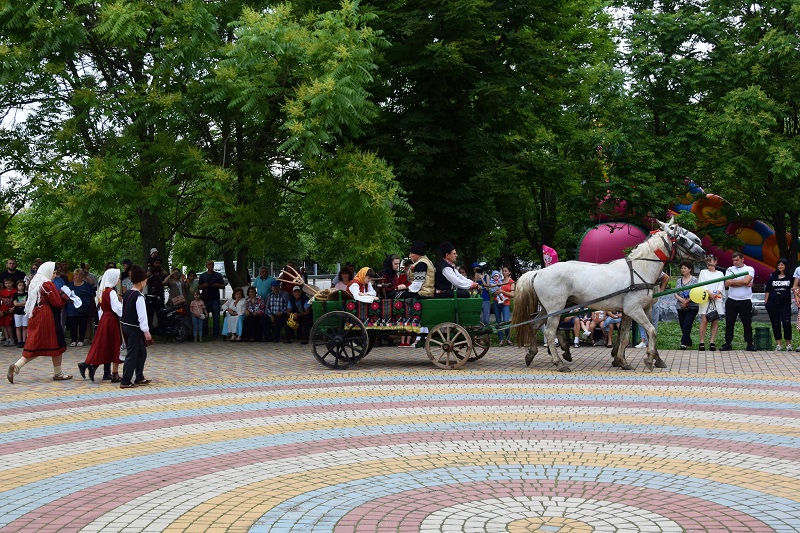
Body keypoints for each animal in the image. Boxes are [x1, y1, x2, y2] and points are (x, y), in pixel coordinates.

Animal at [512, 216, 700, 370]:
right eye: (681, 235)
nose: (703, 251)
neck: (640, 268)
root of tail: (538, 272)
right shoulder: (634, 309)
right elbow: (651, 331)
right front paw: (648, 360)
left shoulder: (639, 310)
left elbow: (627, 336)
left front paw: (624, 361)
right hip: (555, 308)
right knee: (549, 332)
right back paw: (559, 363)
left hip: (548, 308)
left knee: (535, 325)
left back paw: (533, 354)